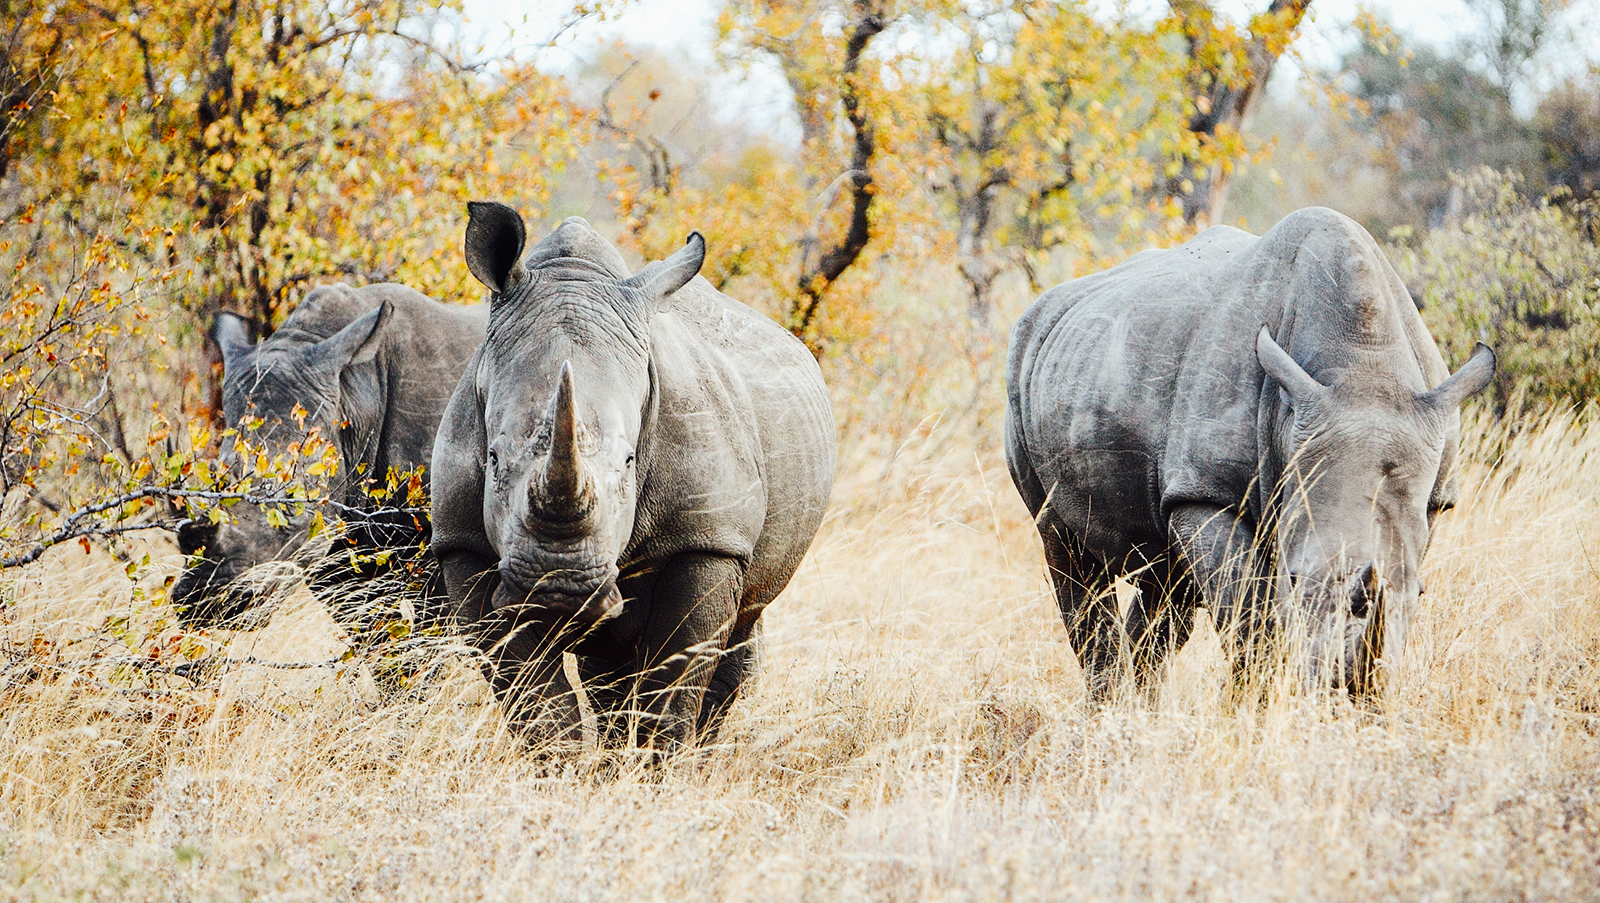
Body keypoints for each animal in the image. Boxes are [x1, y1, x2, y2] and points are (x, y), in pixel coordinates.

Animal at [430, 205, 835, 750]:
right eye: (492, 458)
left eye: (628, 462)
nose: (561, 585)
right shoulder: (463, 542)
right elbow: (535, 702)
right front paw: (565, 766)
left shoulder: (707, 538)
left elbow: (672, 686)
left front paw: (654, 766)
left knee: (740, 627)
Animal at [1005, 207, 1494, 699]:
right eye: (1294, 578)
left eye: (1422, 593)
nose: (1345, 687)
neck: (1364, 366)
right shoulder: (1207, 492)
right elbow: (1247, 618)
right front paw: (1256, 705)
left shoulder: (1431, 500)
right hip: (1025, 366)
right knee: (1064, 545)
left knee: (1167, 581)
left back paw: (1135, 706)